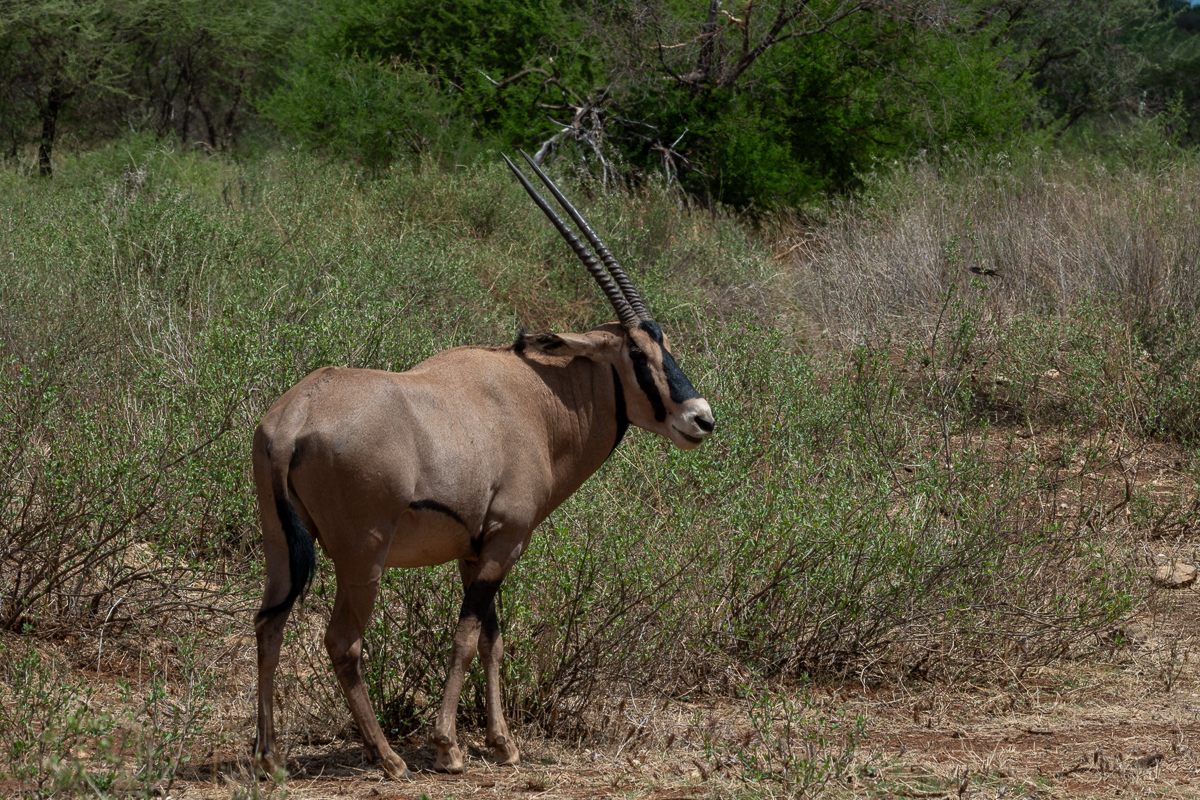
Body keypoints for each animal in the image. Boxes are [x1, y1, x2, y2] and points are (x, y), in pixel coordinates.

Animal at [252, 153, 715, 780]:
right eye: (638, 354)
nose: (701, 418)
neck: (537, 401)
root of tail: (294, 417)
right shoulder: (504, 541)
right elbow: (469, 637)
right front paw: (449, 747)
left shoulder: (474, 553)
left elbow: (493, 638)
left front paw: (502, 743)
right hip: (362, 557)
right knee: (341, 641)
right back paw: (387, 757)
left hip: (283, 548)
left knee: (268, 623)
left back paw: (271, 757)